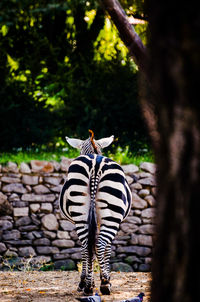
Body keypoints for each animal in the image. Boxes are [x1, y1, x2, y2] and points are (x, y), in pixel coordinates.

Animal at [59, 130, 131, 294]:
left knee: (88, 245)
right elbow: (107, 249)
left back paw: (89, 286)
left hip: (82, 214)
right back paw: (102, 284)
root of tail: (95, 164)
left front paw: (86, 281)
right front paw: (106, 278)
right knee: (98, 244)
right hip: (109, 216)